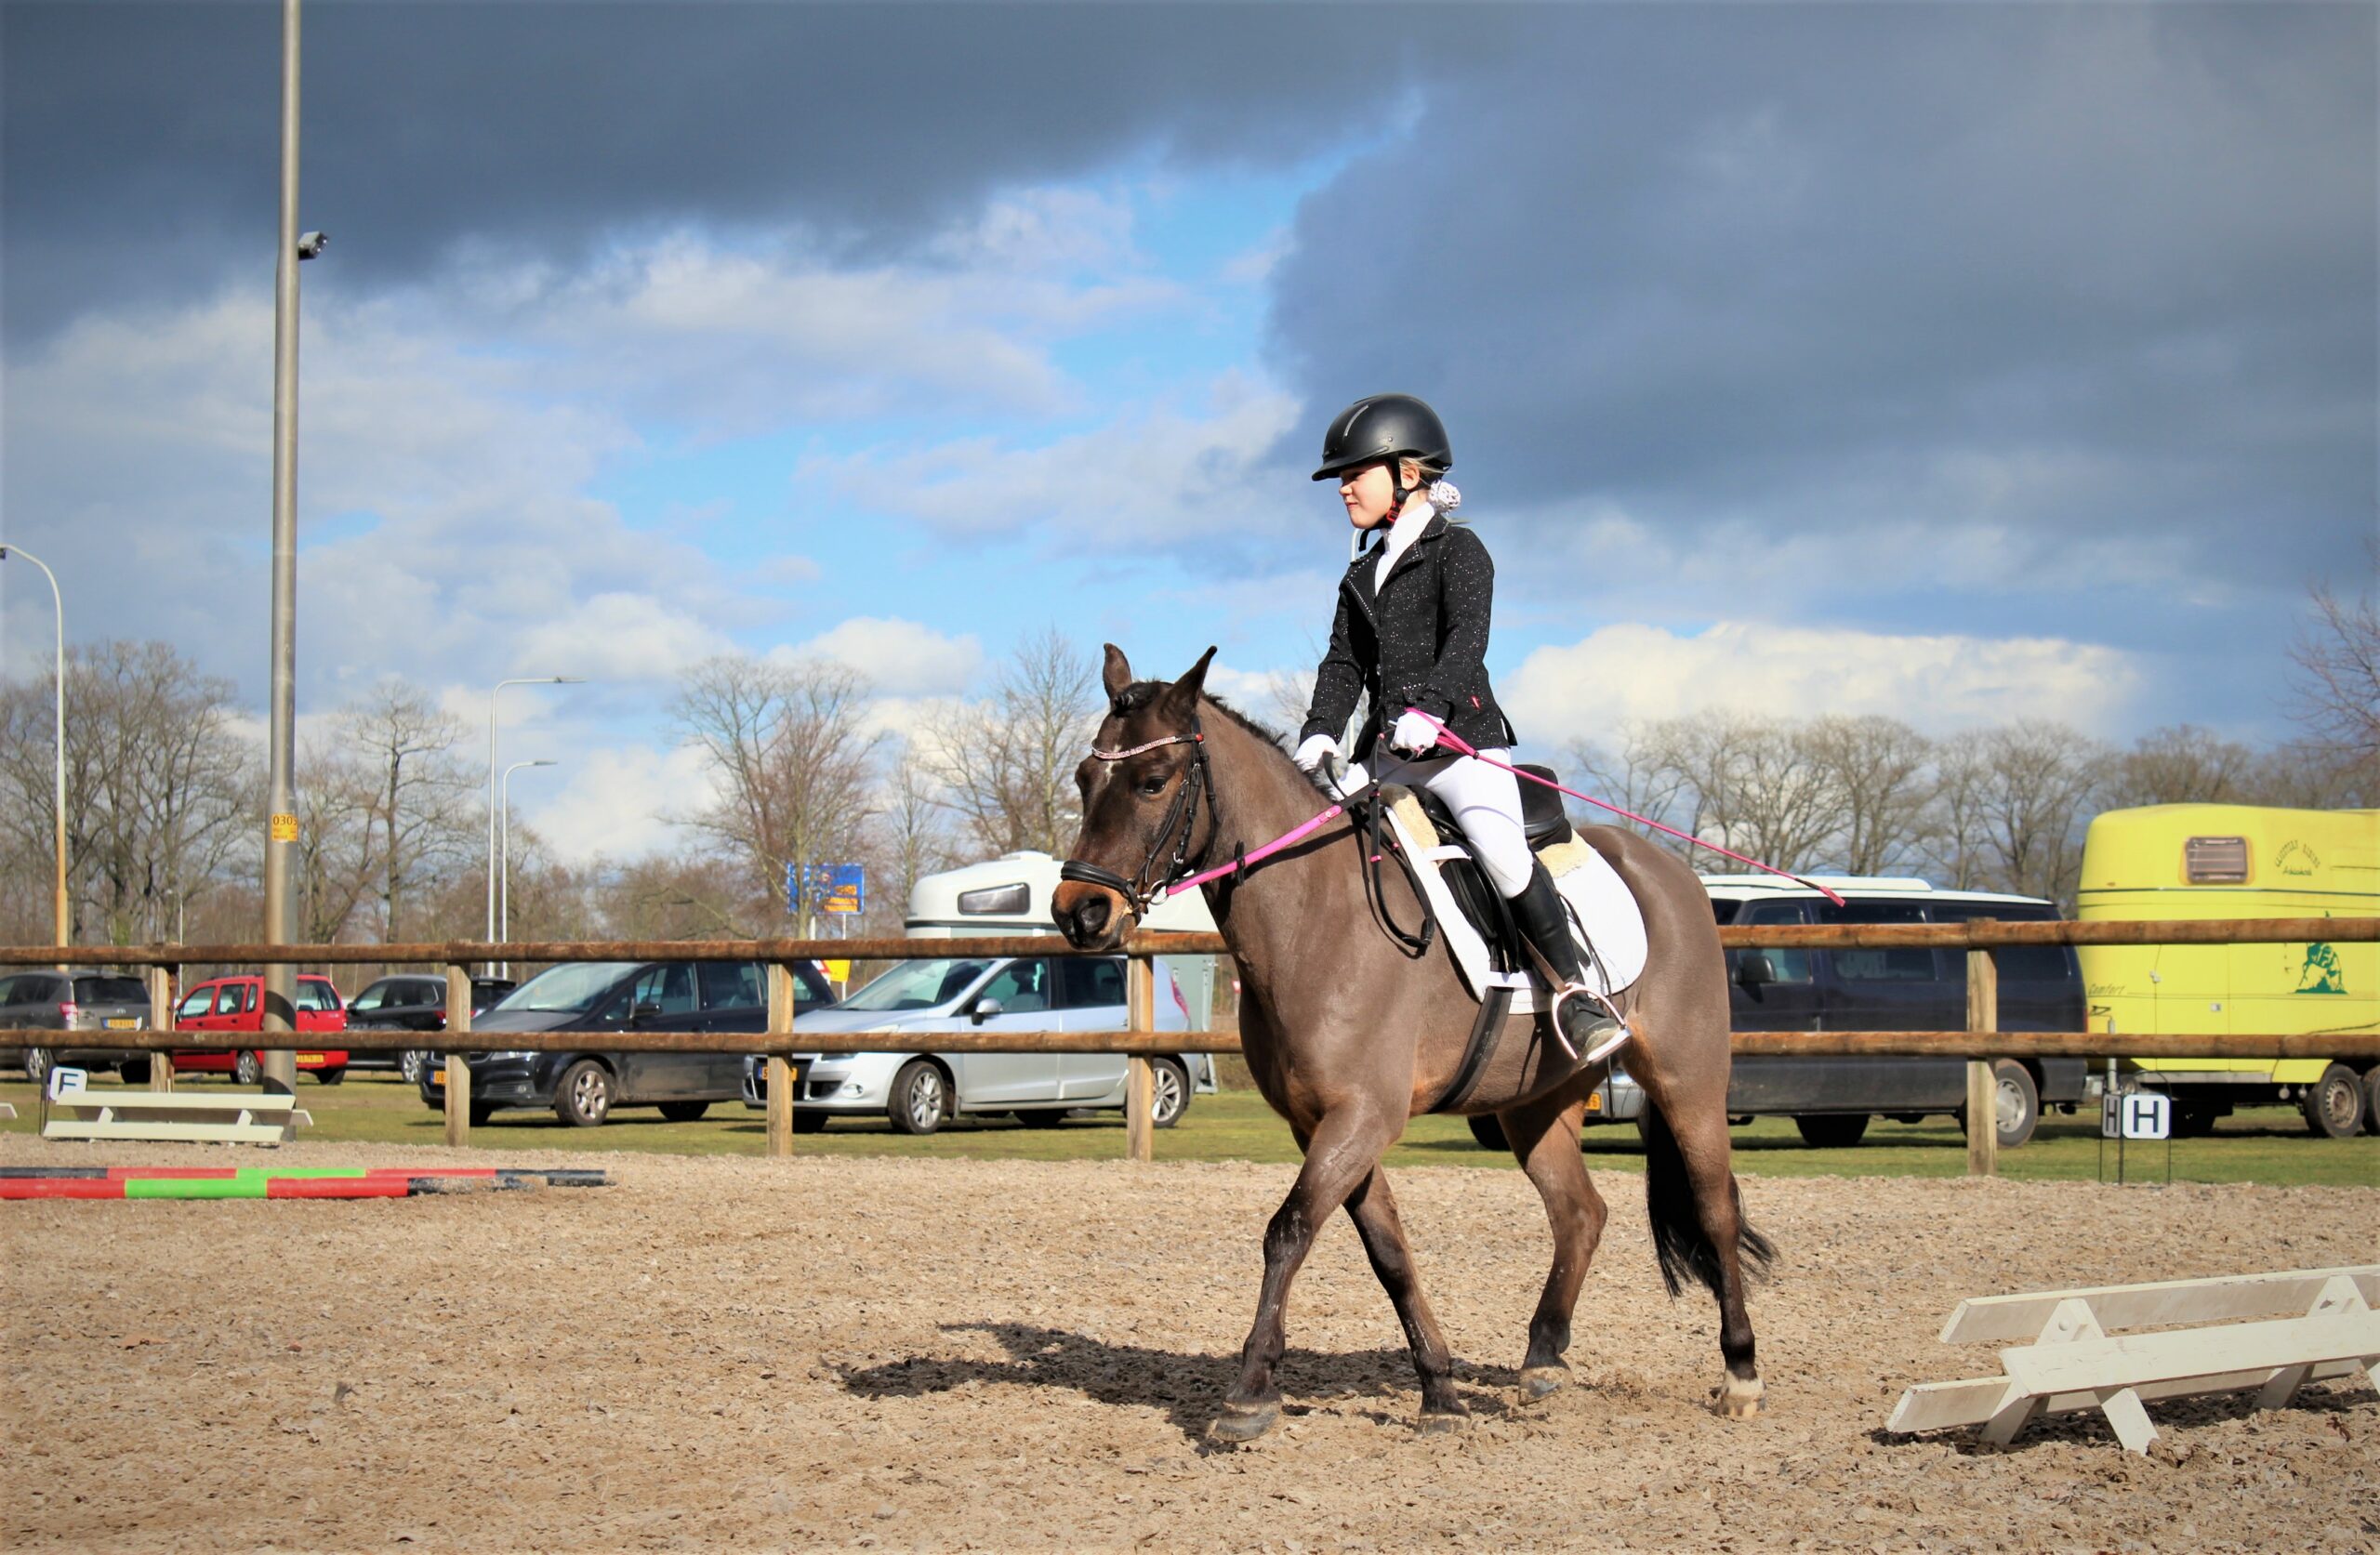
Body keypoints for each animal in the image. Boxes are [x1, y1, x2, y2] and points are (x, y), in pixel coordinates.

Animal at [1056, 646, 1770, 1445]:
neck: (1315, 912)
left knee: (1714, 1208)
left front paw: (1250, 1392)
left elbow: (1289, 1229)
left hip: (1688, 1080)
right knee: (1580, 1211)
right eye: (1085, 779)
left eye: (1153, 780)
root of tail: (1673, 871)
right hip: (1534, 1102)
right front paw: (1440, 1389)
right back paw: (1542, 1360)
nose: (1080, 912)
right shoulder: (1325, 1121)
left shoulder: (1363, 1115)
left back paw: (1741, 1374)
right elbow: (1388, 1252)